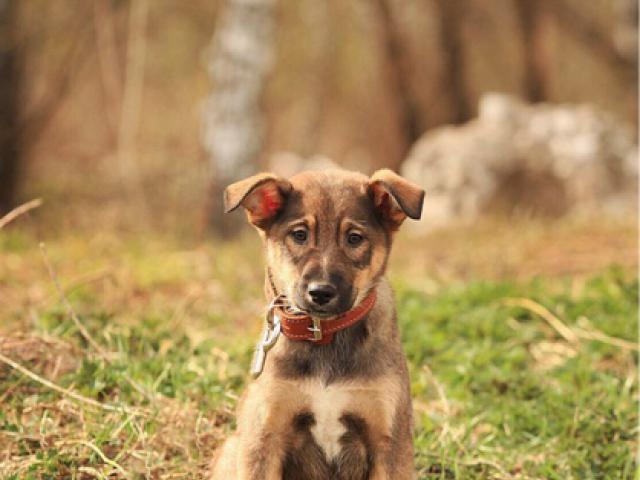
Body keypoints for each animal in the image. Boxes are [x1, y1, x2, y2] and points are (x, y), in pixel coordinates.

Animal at [210, 170, 428, 480]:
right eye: (299, 235)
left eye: (354, 238)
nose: (321, 292)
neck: (324, 333)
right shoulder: (264, 435)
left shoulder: (389, 440)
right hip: (232, 447)